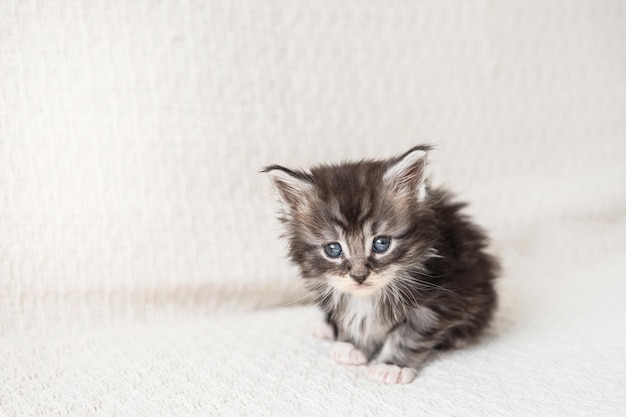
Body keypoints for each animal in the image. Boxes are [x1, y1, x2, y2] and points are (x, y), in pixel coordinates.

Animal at [264, 145, 498, 384]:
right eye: (333, 249)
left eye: (381, 243)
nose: (359, 276)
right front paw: (352, 345)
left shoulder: (438, 300)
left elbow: (410, 334)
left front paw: (391, 365)